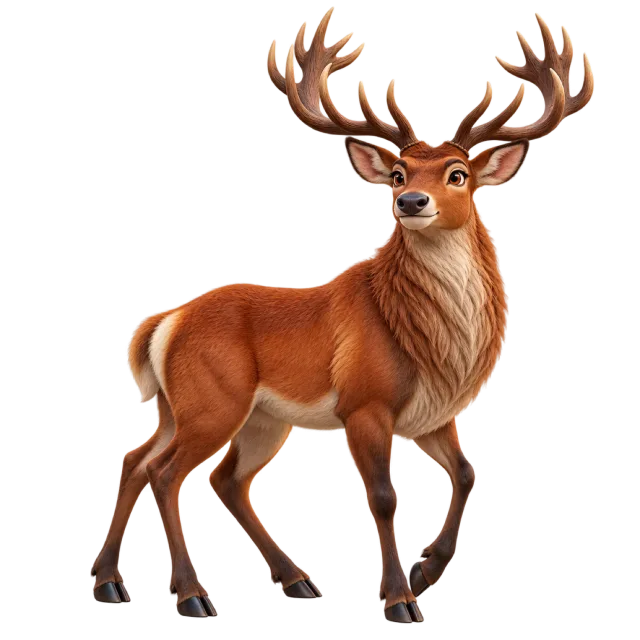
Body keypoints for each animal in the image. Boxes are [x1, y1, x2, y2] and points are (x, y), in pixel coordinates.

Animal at [90, 7, 595, 623]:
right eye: (398, 173)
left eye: (458, 174)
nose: (410, 202)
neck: (435, 346)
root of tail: (162, 323)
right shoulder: (365, 402)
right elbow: (384, 498)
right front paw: (399, 600)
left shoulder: (434, 415)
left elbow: (467, 474)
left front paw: (427, 571)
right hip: (213, 400)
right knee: (167, 473)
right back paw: (192, 597)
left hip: (225, 413)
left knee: (170, 467)